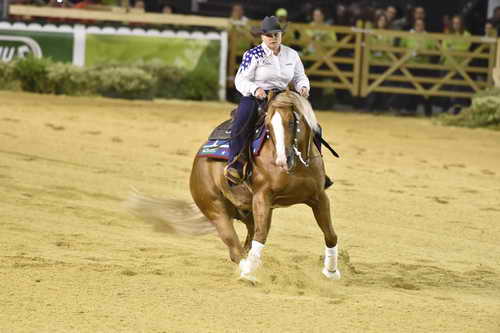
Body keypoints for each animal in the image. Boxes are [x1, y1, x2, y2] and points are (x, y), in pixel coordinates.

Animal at [127, 89, 342, 282]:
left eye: (291, 122)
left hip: (247, 212)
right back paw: (248, 272)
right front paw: (251, 271)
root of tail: (197, 165)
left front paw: (331, 272)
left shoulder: (318, 197)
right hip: (216, 210)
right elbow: (261, 236)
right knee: (235, 247)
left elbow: (331, 235)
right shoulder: (262, 197)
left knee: (246, 242)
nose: (282, 160)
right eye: (267, 126)